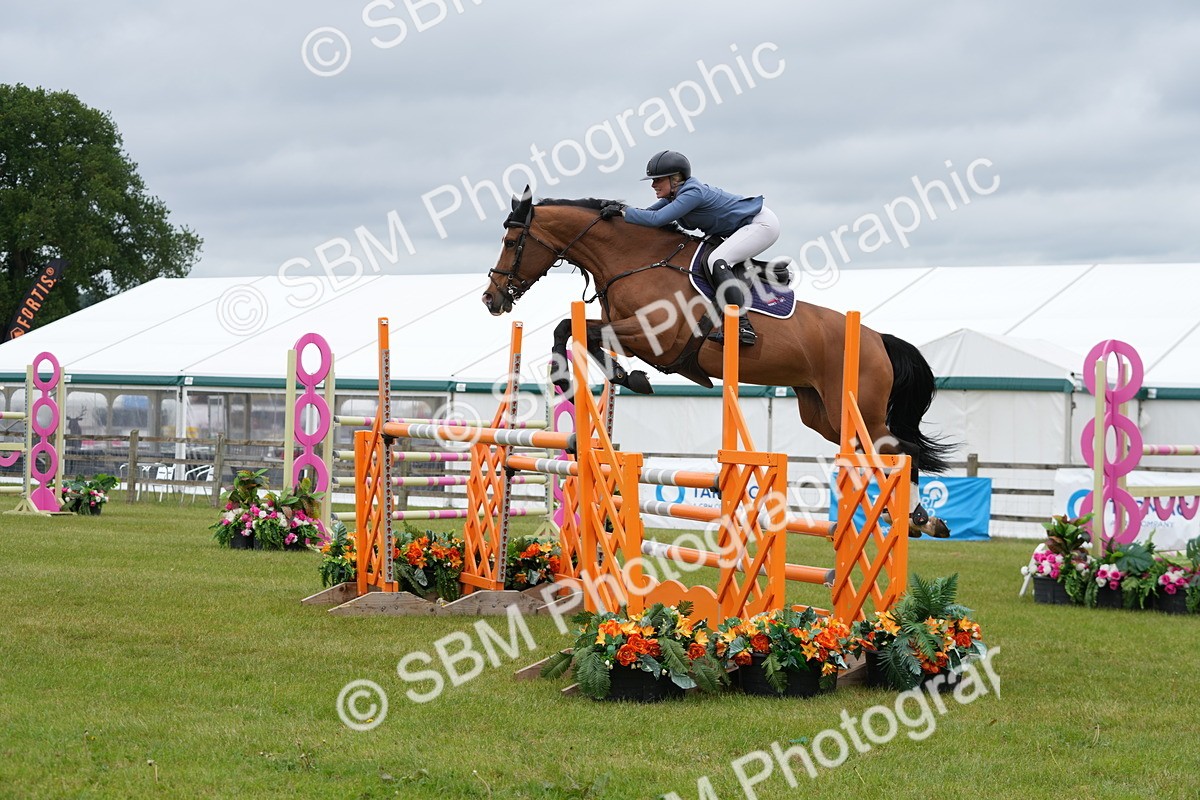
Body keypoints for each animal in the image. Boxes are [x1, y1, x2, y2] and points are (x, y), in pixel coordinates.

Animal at [482, 191, 954, 537]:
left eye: (511, 242)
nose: (492, 298)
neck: (632, 260)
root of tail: (877, 338)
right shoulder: (628, 332)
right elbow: (573, 329)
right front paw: (621, 375)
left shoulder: (656, 339)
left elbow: (577, 331)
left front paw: (575, 378)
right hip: (823, 415)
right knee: (883, 454)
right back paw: (909, 518)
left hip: (859, 411)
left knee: (903, 450)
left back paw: (920, 519)